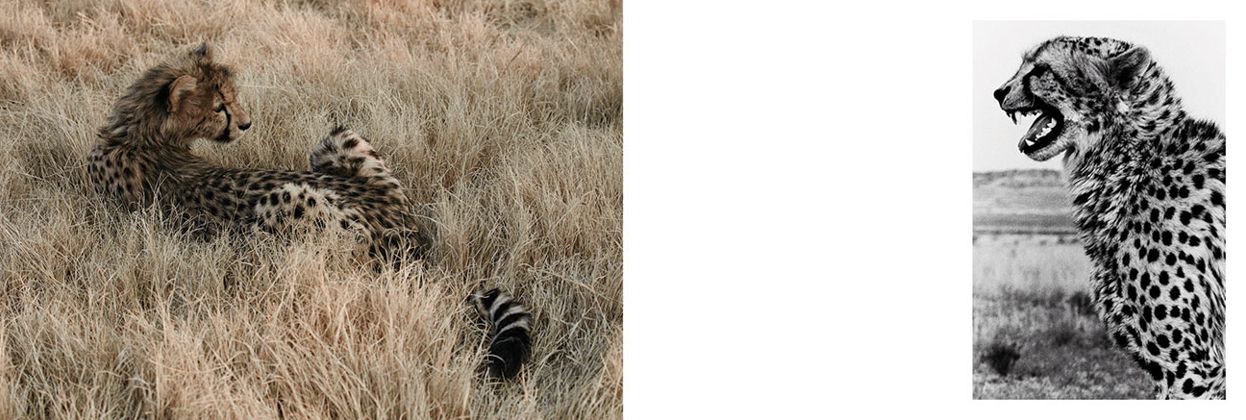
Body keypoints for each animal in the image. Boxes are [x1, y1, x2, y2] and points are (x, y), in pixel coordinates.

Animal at [86, 43, 532, 379]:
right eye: (219, 107)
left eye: (230, 100)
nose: (246, 124)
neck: (141, 133)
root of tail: (406, 235)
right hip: (336, 139)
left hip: (286, 201)